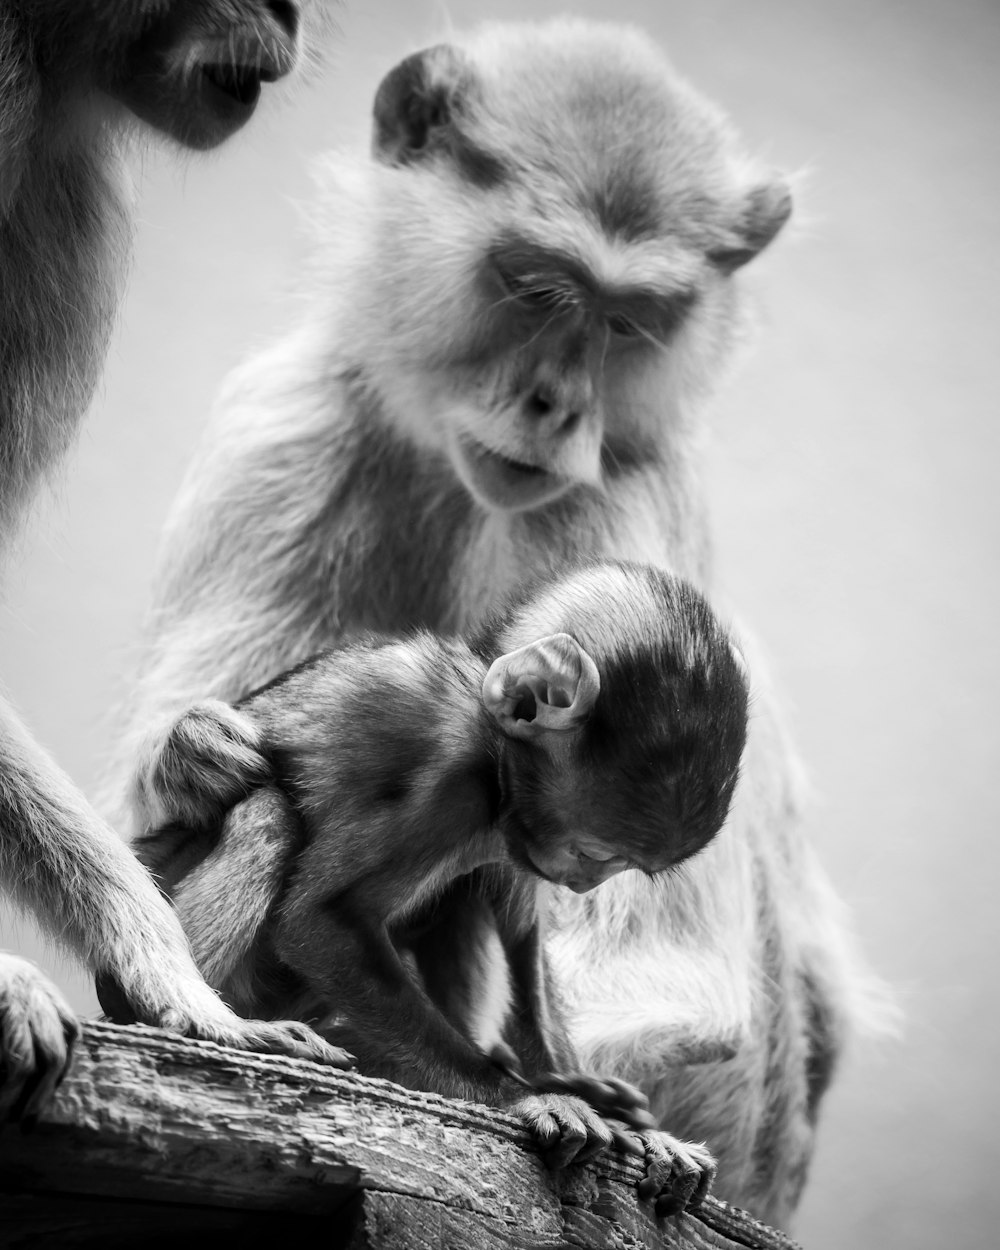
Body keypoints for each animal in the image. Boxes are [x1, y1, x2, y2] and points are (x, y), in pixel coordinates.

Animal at [125, 565, 745, 1210]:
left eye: (608, 864)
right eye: (595, 853)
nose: (583, 882)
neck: (481, 715)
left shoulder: (509, 822)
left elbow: (521, 930)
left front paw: (575, 1087)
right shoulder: (452, 782)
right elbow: (321, 921)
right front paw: (525, 1095)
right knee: (267, 812)